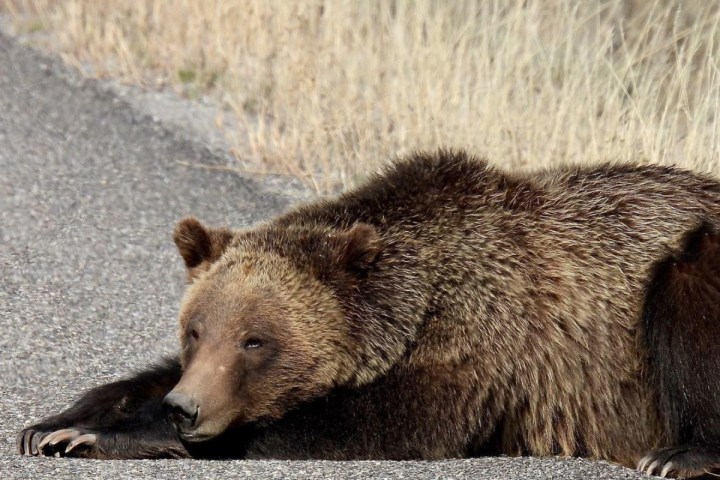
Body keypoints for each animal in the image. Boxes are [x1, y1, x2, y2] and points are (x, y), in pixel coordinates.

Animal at [17, 149, 720, 478]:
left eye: (255, 341)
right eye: (195, 330)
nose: (187, 409)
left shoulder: (480, 346)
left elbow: (372, 421)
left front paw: (104, 436)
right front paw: (58, 422)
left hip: (688, 261)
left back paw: (678, 453)